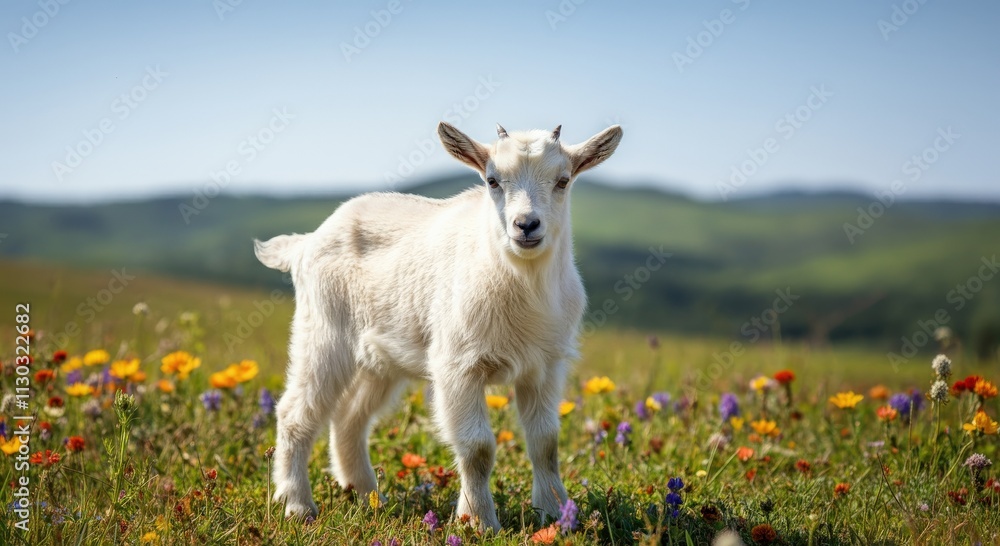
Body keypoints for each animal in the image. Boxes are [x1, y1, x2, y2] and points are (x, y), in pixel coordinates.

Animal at [254, 122, 623, 530]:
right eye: (492, 180)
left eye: (563, 180)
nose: (526, 225)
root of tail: (304, 244)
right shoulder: (457, 366)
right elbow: (478, 447)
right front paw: (479, 522)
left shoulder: (544, 367)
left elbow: (546, 442)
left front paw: (555, 514)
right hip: (321, 334)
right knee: (295, 412)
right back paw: (297, 505)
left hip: (380, 360)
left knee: (350, 418)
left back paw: (368, 497)